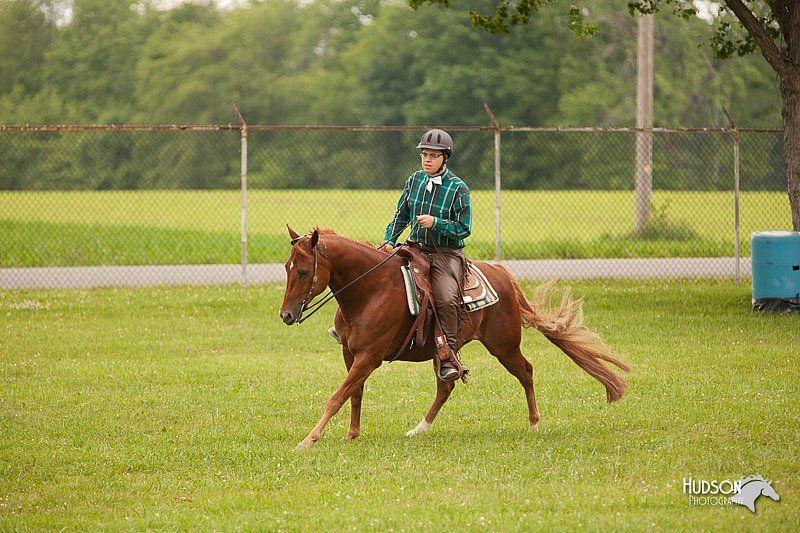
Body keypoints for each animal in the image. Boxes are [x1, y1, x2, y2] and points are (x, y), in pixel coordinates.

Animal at [282, 225, 632, 448]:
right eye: (286, 267)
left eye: (303, 271)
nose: (285, 315)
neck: (371, 289)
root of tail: (501, 273)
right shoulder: (351, 354)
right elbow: (353, 394)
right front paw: (351, 434)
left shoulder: (370, 357)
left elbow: (337, 396)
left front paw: (309, 439)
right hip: (445, 352)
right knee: (446, 386)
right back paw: (419, 428)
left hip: (503, 346)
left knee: (526, 371)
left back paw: (534, 422)